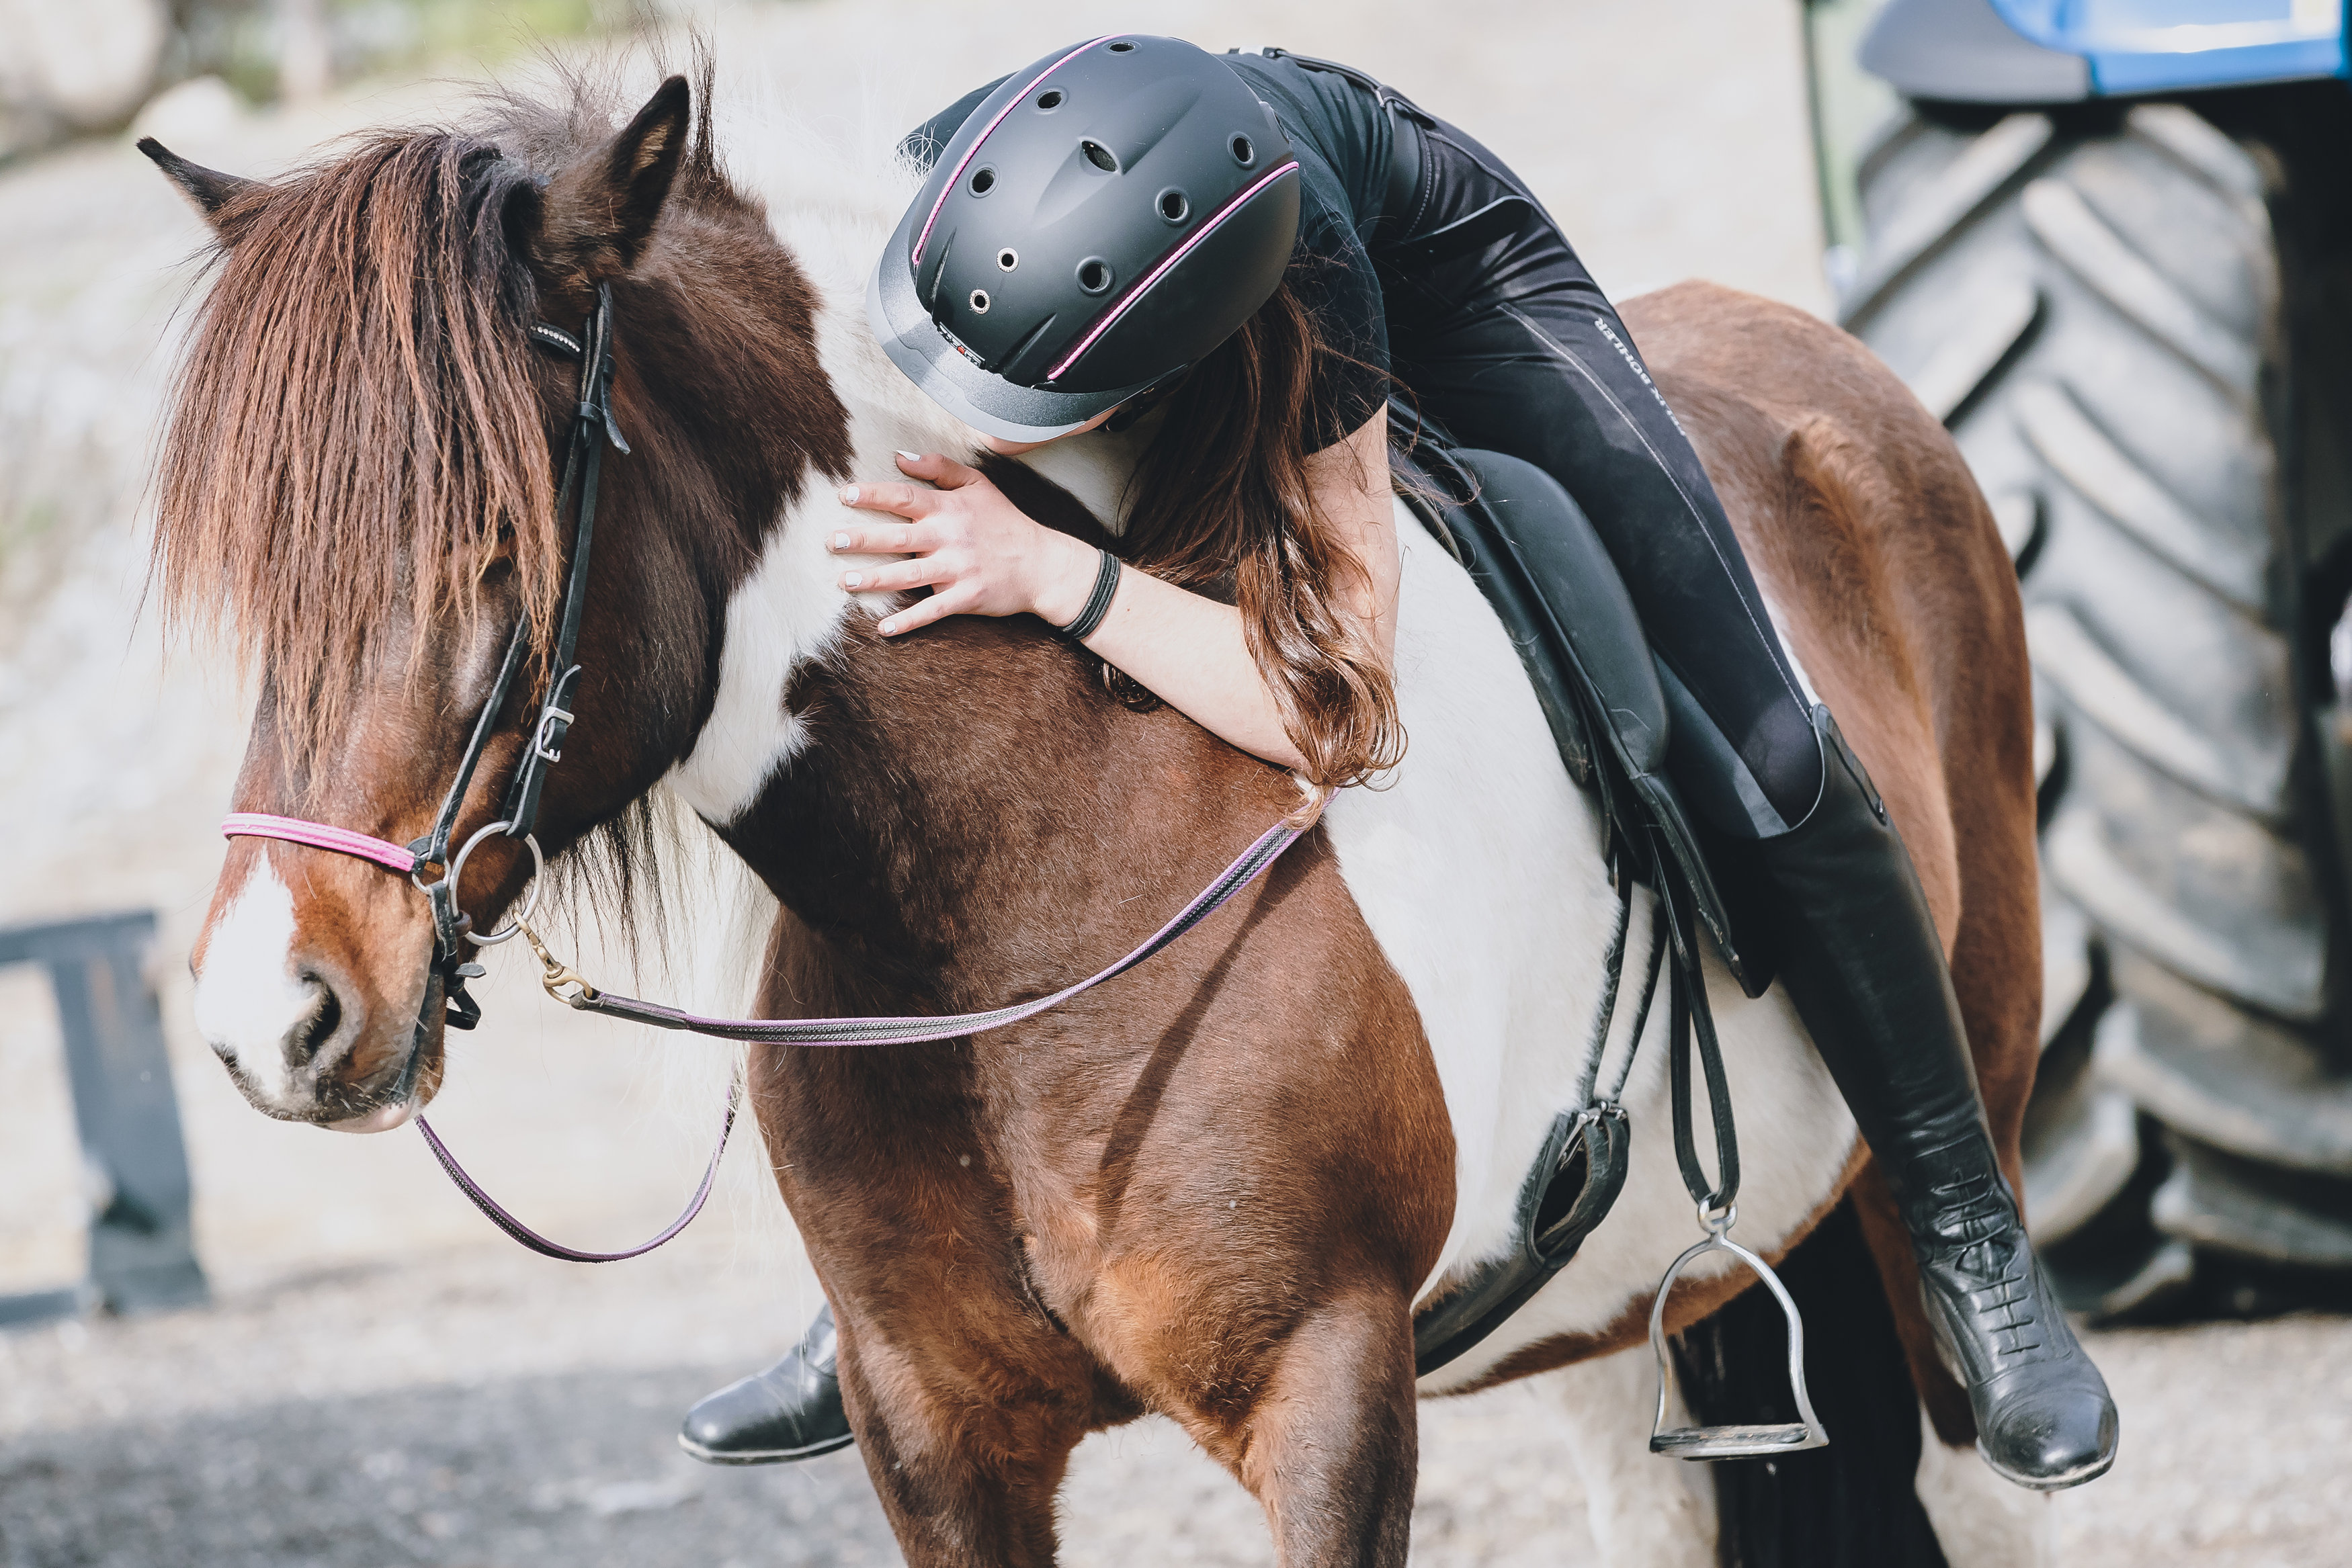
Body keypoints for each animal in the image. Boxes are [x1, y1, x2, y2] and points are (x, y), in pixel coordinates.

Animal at [156, 70, 2051, 1568]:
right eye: (261, 581)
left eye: (499, 549)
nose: (271, 1018)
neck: (1022, 863)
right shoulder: (936, 1438)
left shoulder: (1331, 1394)